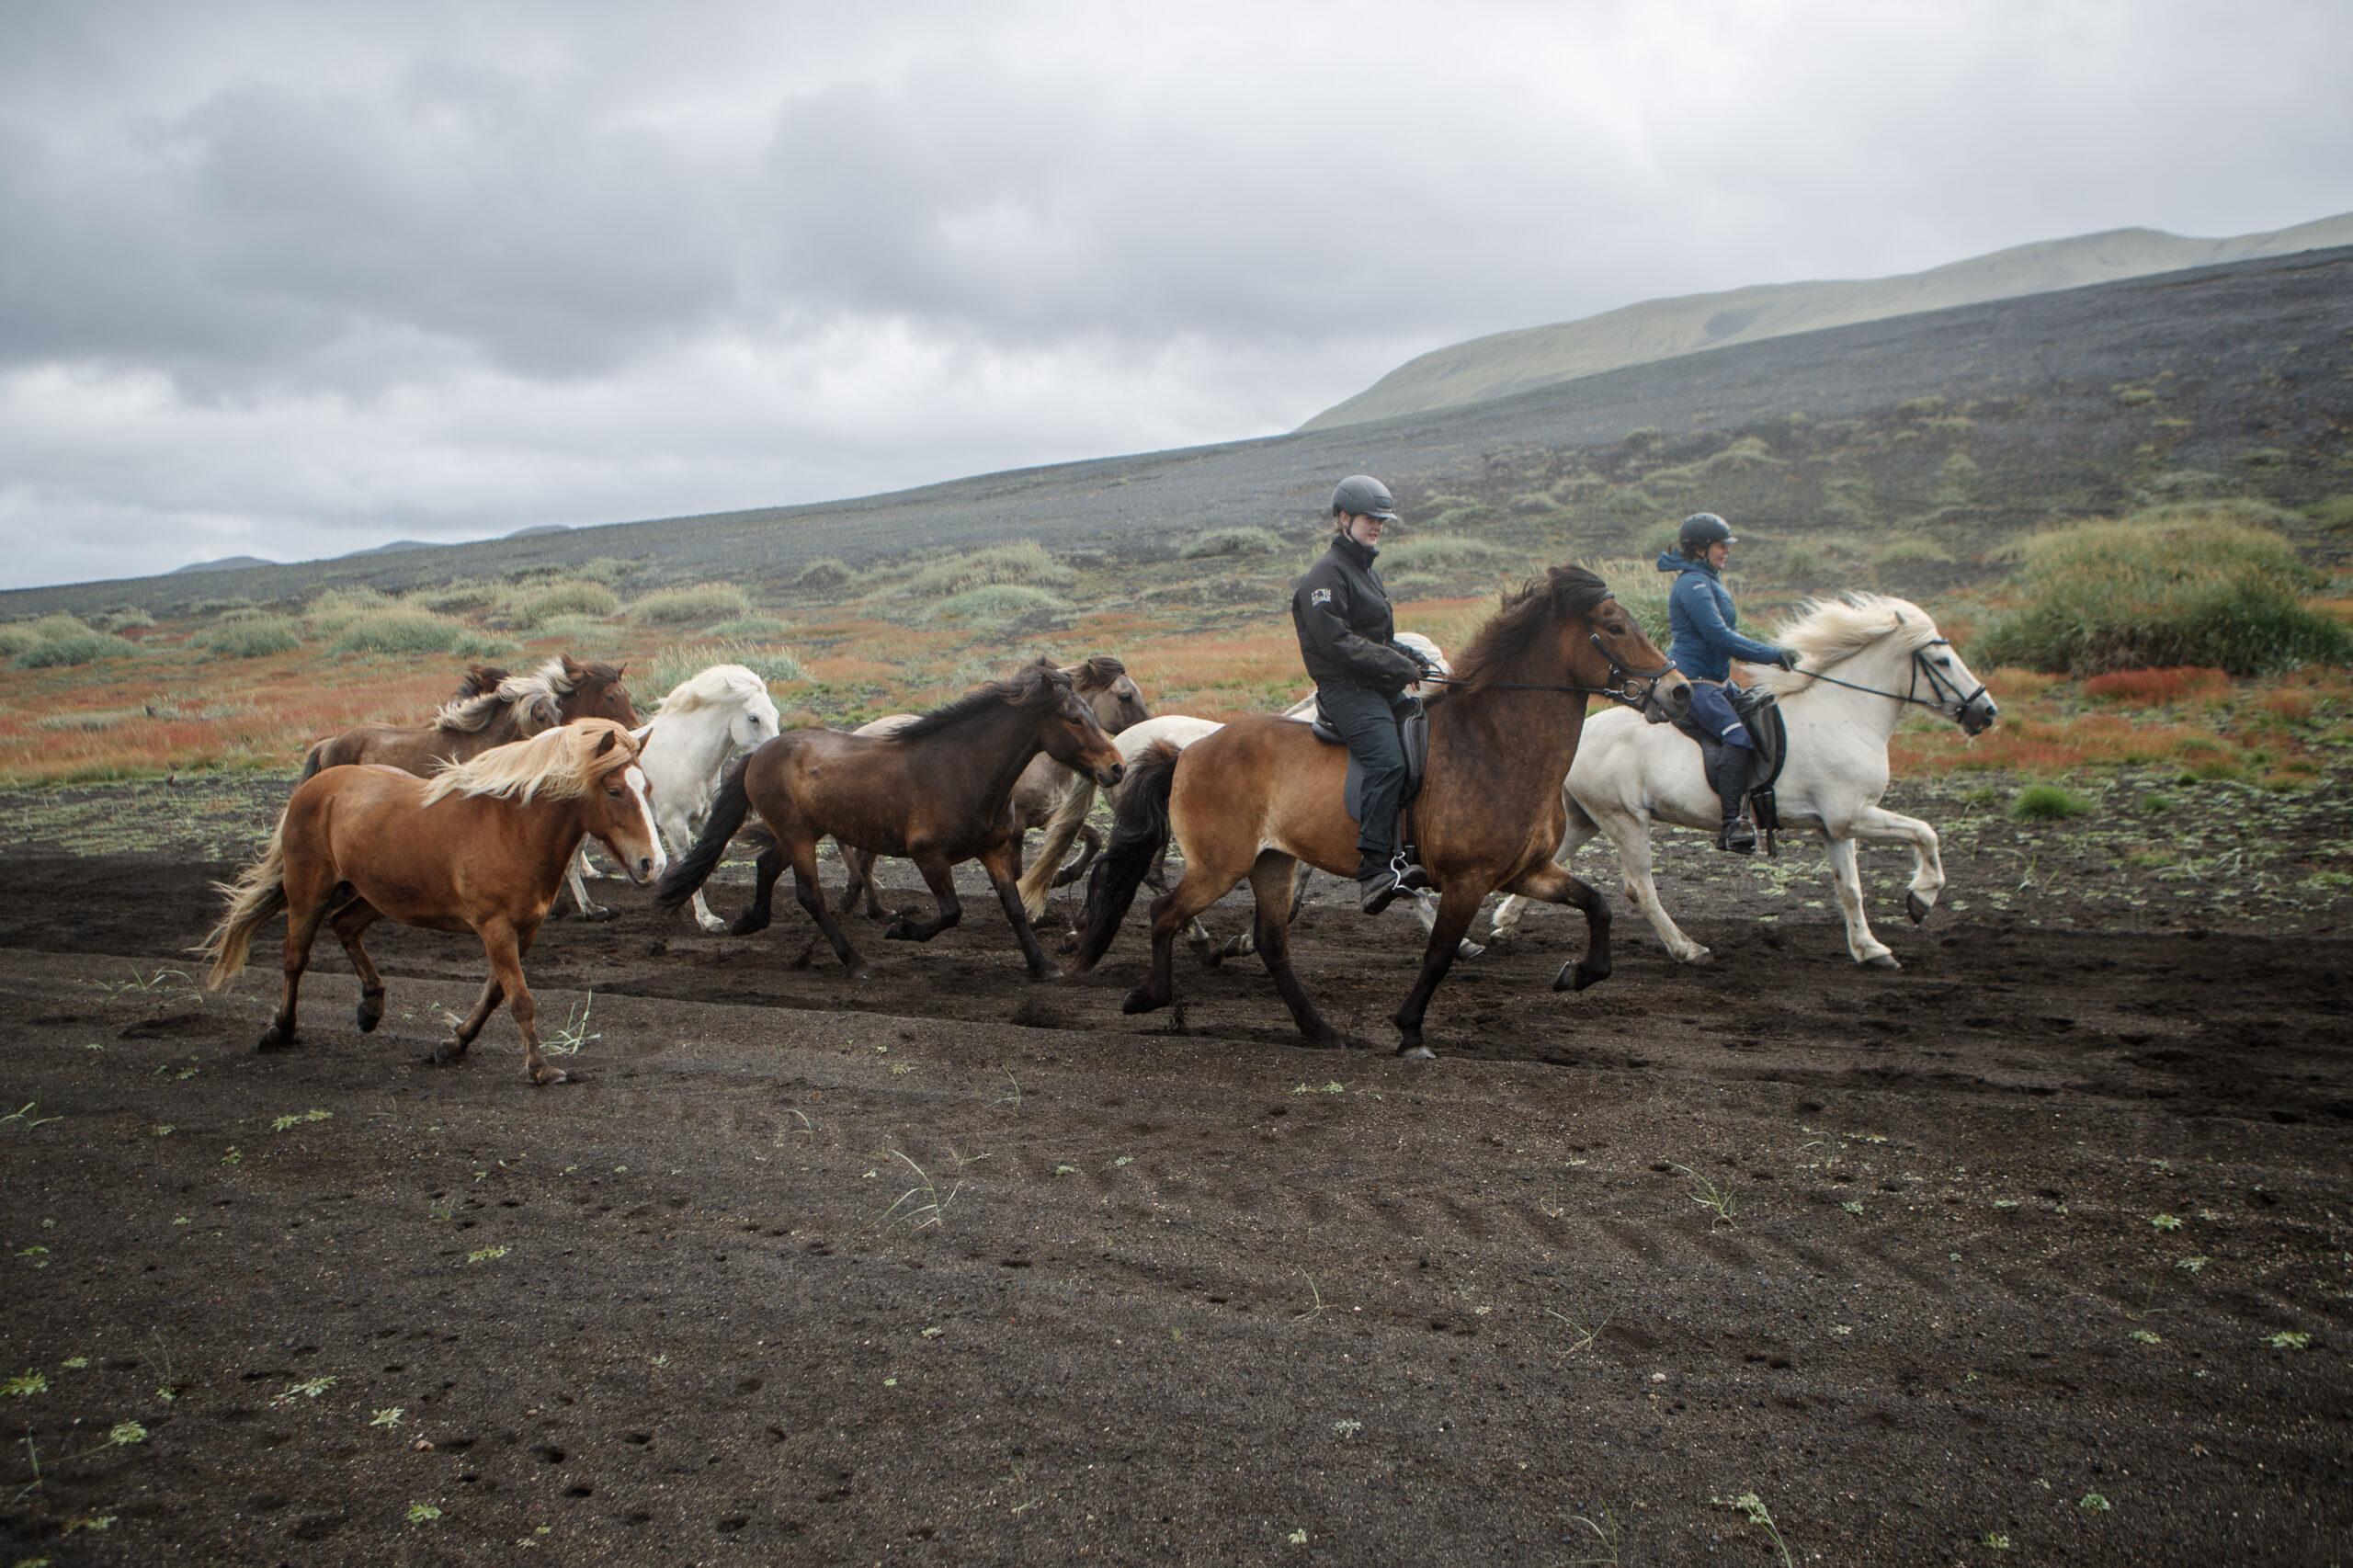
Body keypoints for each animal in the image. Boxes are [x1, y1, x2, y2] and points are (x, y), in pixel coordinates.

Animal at [199, 720, 665, 1085]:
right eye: (615, 790)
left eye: (647, 787)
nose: (653, 863)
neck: (513, 829)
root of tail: (315, 786)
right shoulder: (495, 927)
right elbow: (519, 999)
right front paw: (540, 1068)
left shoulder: (524, 929)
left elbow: (495, 993)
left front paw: (454, 1043)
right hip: (307, 892)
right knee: (295, 955)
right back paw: (281, 1030)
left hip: (377, 894)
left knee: (344, 925)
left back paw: (371, 1007)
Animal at [566, 663, 781, 932]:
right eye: (754, 718)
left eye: (776, 715)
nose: (773, 758)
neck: (685, 754)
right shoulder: (674, 824)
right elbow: (687, 861)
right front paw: (708, 920)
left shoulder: (702, 815)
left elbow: (725, 849)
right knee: (570, 865)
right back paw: (590, 909)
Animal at [832, 655, 1151, 922]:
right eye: (1125, 696)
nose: (1120, 766)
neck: (1038, 761)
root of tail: (858, 732)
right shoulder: (1018, 825)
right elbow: (1018, 868)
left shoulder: (1046, 815)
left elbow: (1094, 838)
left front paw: (1062, 876)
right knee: (858, 856)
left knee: (864, 859)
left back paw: (876, 910)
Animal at [1069, 567, 1688, 1058]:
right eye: (1614, 627)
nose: (1680, 692)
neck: (1495, 744)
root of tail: (1189, 752)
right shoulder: (1467, 880)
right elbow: (1438, 955)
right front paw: (1411, 1033)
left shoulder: (1524, 872)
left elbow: (1598, 904)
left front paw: (1579, 974)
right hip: (1220, 865)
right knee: (1165, 913)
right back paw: (1149, 996)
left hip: (1271, 862)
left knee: (1271, 943)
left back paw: (1318, 1031)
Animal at [1488, 593, 1997, 969]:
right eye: (1942, 660)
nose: (1987, 712)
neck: (1846, 714)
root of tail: (1582, 734)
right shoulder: (1853, 814)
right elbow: (1925, 833)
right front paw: (1921, 897)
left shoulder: (1835, 827)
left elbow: (1850, 889)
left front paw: (1870, 949)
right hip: (1624, 819)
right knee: (1640, 888)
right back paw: (1688, 949)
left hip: (1586, 818)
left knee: (1546, 863)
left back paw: (1504, 923)